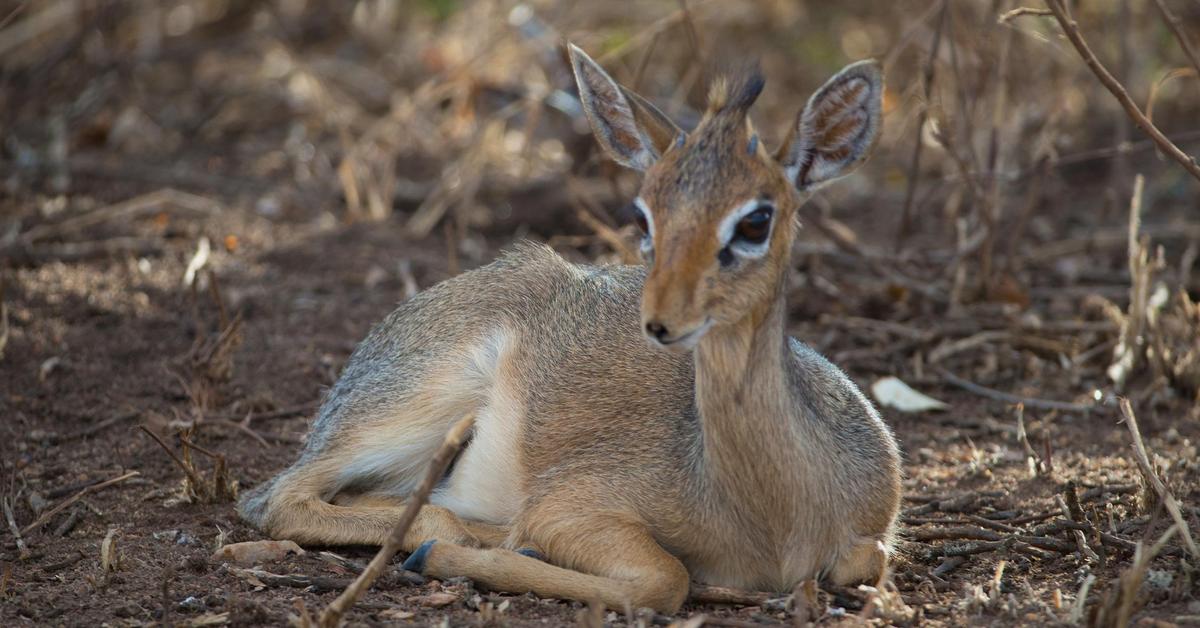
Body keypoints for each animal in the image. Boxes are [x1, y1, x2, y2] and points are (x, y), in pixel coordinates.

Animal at [238, 45, 902, 614]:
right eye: (643, 213)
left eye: (757, 219)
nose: (661, 320)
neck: (773, 515)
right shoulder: (572, 507)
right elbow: (667, 578)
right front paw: (460, 552)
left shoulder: (868, 537)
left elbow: (861, 562)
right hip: (409, 408)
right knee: (279, 497)